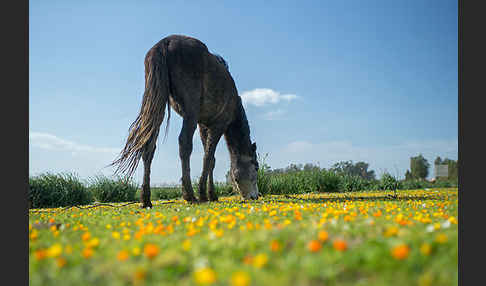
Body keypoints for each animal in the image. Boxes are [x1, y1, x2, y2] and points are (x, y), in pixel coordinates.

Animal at [112, 34, 260, 208]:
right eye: (256, 167)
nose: (255, 196)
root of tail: (165, 42)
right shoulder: (218, 125)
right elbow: (208, 157)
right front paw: (204, 194)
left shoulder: (203, 125)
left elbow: (212, 160)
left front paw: (212, 194)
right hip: (190, 112)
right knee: (184, 144)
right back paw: (190, 195)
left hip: (158, 105)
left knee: (149, 146)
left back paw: (146, 199)